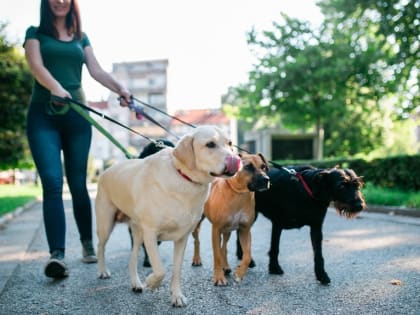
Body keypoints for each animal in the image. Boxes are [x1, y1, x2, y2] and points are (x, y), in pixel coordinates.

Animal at [191, 153, 270, 286]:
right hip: (197, 224)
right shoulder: (216, 230)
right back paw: (197, 259)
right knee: (197, 241)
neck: (239, 194)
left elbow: (247, 255)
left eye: (263, 166)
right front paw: (218, 277)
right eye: (248, 167)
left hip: (227, 230)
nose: (266, 179)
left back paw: (226, 266)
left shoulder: (245, 230)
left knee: (224, 247)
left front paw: (239, 273)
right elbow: (216, 255)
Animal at [238, 167, 366, 286]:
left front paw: (321, 275)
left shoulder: (316, 227)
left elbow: (318, 254)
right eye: (341, 186)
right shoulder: (277, 224)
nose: (359, 205)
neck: (308, 191)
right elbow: (275, 248)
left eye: (357, 185)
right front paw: (274, 268)